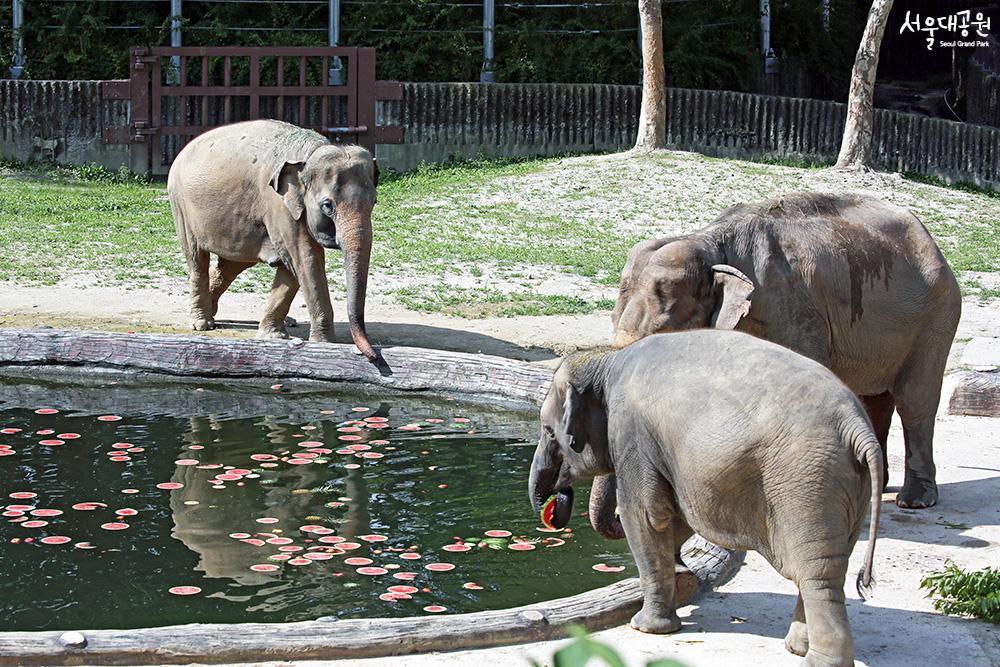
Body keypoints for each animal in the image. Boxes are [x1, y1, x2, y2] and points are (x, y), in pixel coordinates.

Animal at [168, 119, 378, 360]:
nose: (372, 356)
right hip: (181, 207)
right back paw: (202, 323)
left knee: (231, 266)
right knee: (197, 259)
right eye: (328, 205)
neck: (310, 153)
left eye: (374, 202)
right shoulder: (278, 204)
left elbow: (293, 265)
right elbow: (305, 259)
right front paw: (324, 344)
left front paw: (273, 335)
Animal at [528, 330, 880, 667]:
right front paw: (682, 579)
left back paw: (816, 660)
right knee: (830, 565)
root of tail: (857, 427)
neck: (609, 359)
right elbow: (679, 513)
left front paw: (645, 627)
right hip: (847, 488)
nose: (554, 505)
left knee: (816, 572)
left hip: (807, 484)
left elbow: (644, 516)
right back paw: (796, 648)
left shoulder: (632, 433)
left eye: (547, 430)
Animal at [588, 192, 956, 520]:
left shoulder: (793, 312)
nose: (619, 519)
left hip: (936, 317)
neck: (710, 242)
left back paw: (915, 501)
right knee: (874, 398)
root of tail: (928, 237)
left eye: (661, 333)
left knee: (915, 401)